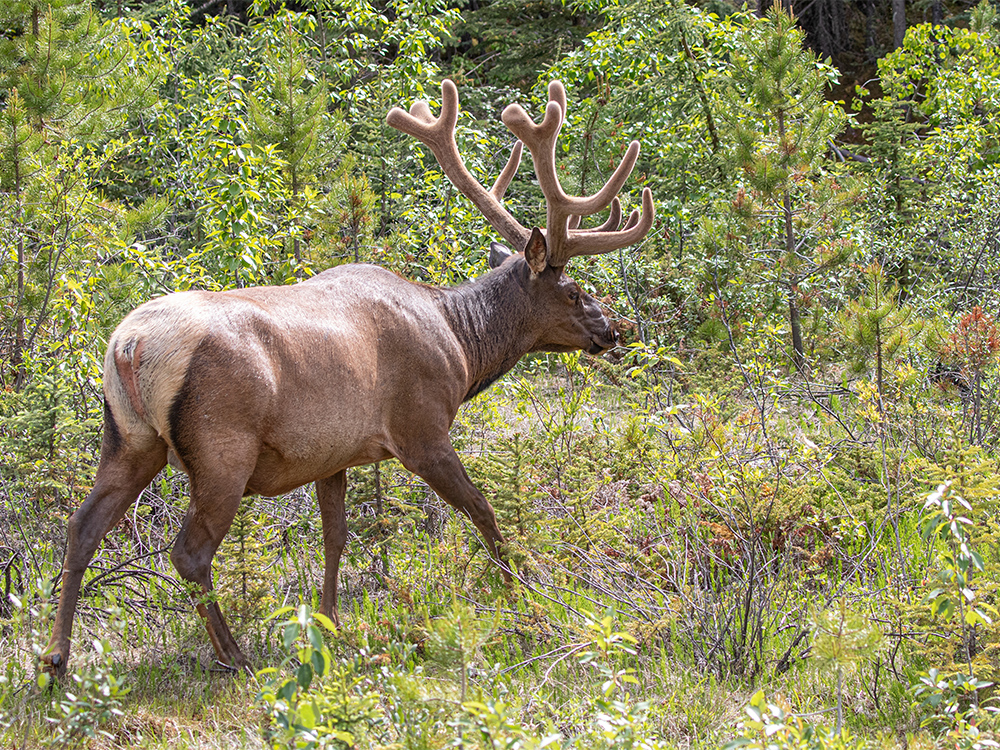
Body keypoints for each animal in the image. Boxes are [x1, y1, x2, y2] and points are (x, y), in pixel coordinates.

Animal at [43, 81, 656, 676]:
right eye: (573, 291)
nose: (610, 330)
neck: (461, 346)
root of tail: (129, 345)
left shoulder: (331, 452)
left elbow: (336, 536)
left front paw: (330, 624)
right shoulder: (420, 428)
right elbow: (483, 512)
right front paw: (525, 596)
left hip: (127, 438)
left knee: (81, 527)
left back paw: (56, 657)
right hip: (222, 446)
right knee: (188, 553)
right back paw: (233, 656)